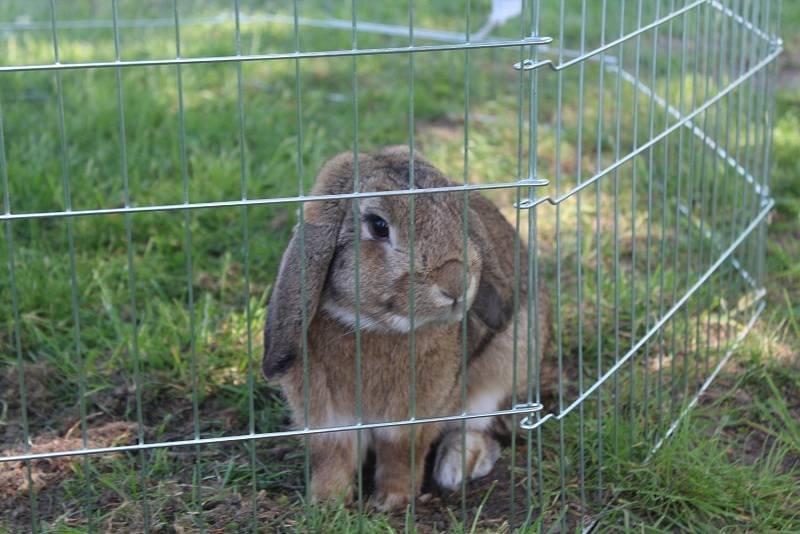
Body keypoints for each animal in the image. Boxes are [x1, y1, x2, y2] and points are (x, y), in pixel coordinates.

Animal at [262, 144, 552, 512]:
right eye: (378, 225)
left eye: (458, 214)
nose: (455, 283)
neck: (371, 326)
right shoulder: (325, 415)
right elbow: (334, 456)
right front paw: (326, 501)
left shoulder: (417, 413)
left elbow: (401, 452)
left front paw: (392, 501)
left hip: (508, 363)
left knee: (477, 424)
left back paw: (457, 465)